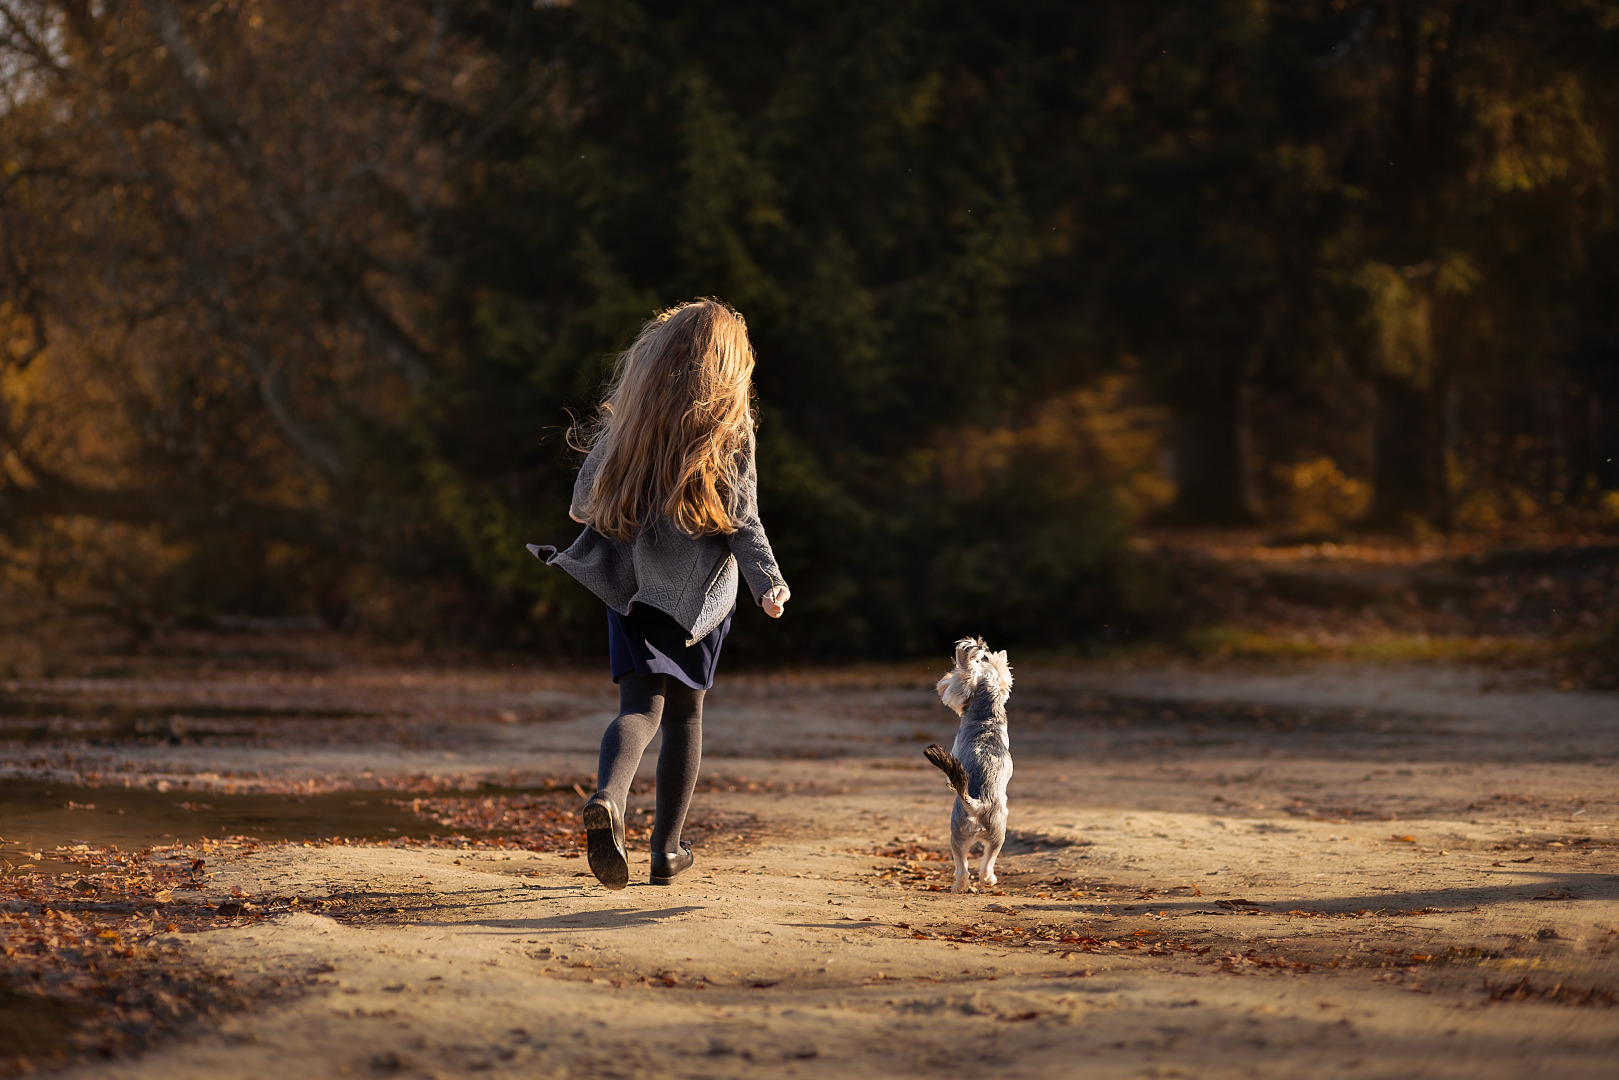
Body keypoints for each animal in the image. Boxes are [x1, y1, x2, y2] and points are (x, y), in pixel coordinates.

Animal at [926, 637, 1010, 893]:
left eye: (953, 675)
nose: (943, 681)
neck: (986, 716)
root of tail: (978, 805)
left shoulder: (954, 748)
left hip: (958, 834)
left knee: (965, 868)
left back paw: (962, 886)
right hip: (995, 835)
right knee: (985, 863)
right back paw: (986, 881)